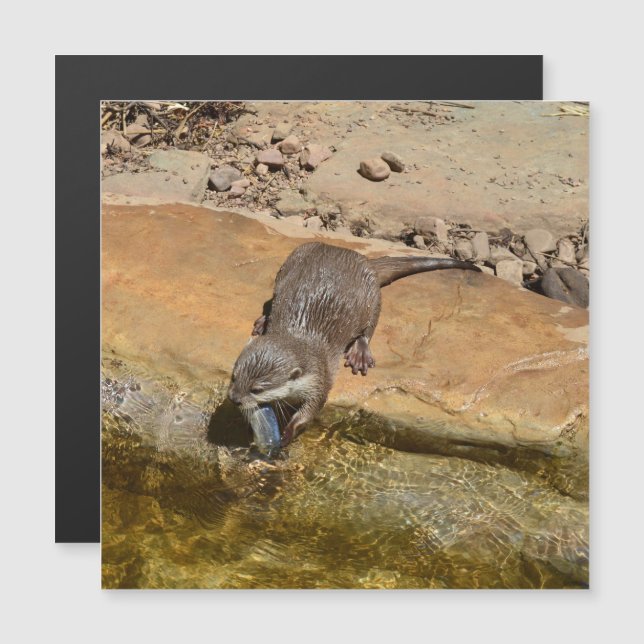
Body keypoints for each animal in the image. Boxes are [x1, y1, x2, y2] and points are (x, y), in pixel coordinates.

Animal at [228, 242, 480, 449]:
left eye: (257, 389)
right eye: (234, 377)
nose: (234, 398)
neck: (298, 336)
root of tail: (360, 258)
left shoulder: (320, 380)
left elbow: (310, 411)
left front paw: (287, 433)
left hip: (372, 296)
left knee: (369, 327)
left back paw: (360, 352)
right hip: (290, 263)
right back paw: (263, 321)